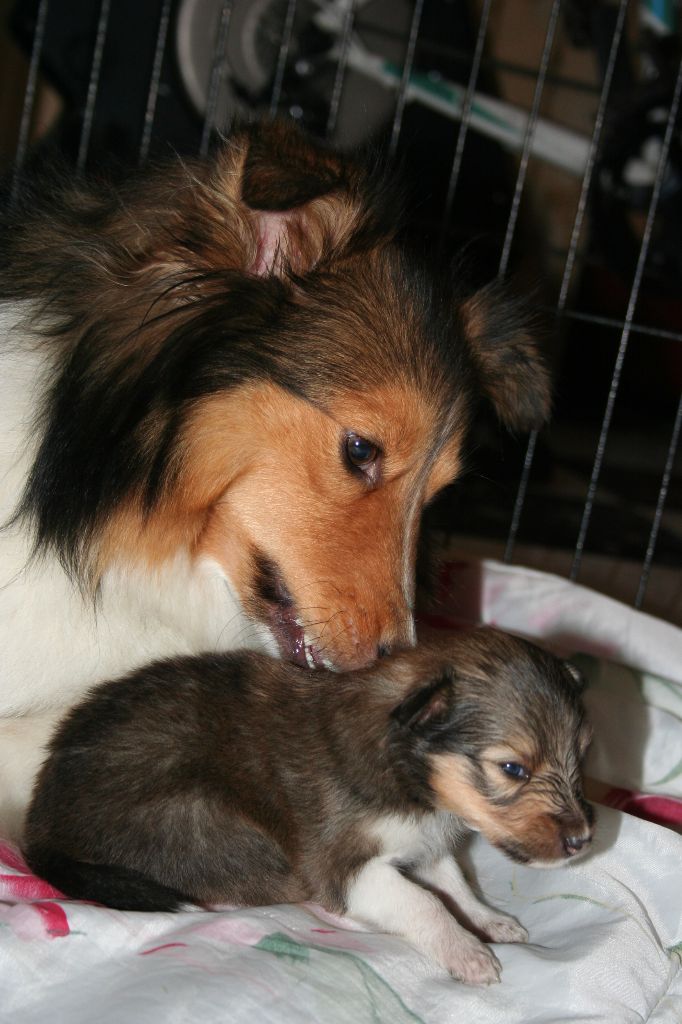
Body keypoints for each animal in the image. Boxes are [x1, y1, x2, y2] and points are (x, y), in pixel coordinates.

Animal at [25, 626, 589, 987]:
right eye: (512, 768)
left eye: (581, 755)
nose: (584, 841)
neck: (407, 772)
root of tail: (38, 832)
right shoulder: (342, 863)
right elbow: (423, 902)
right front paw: (468, 954)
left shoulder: (425, 841)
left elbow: (455, 881)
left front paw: (491, 921)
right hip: (206, 821)